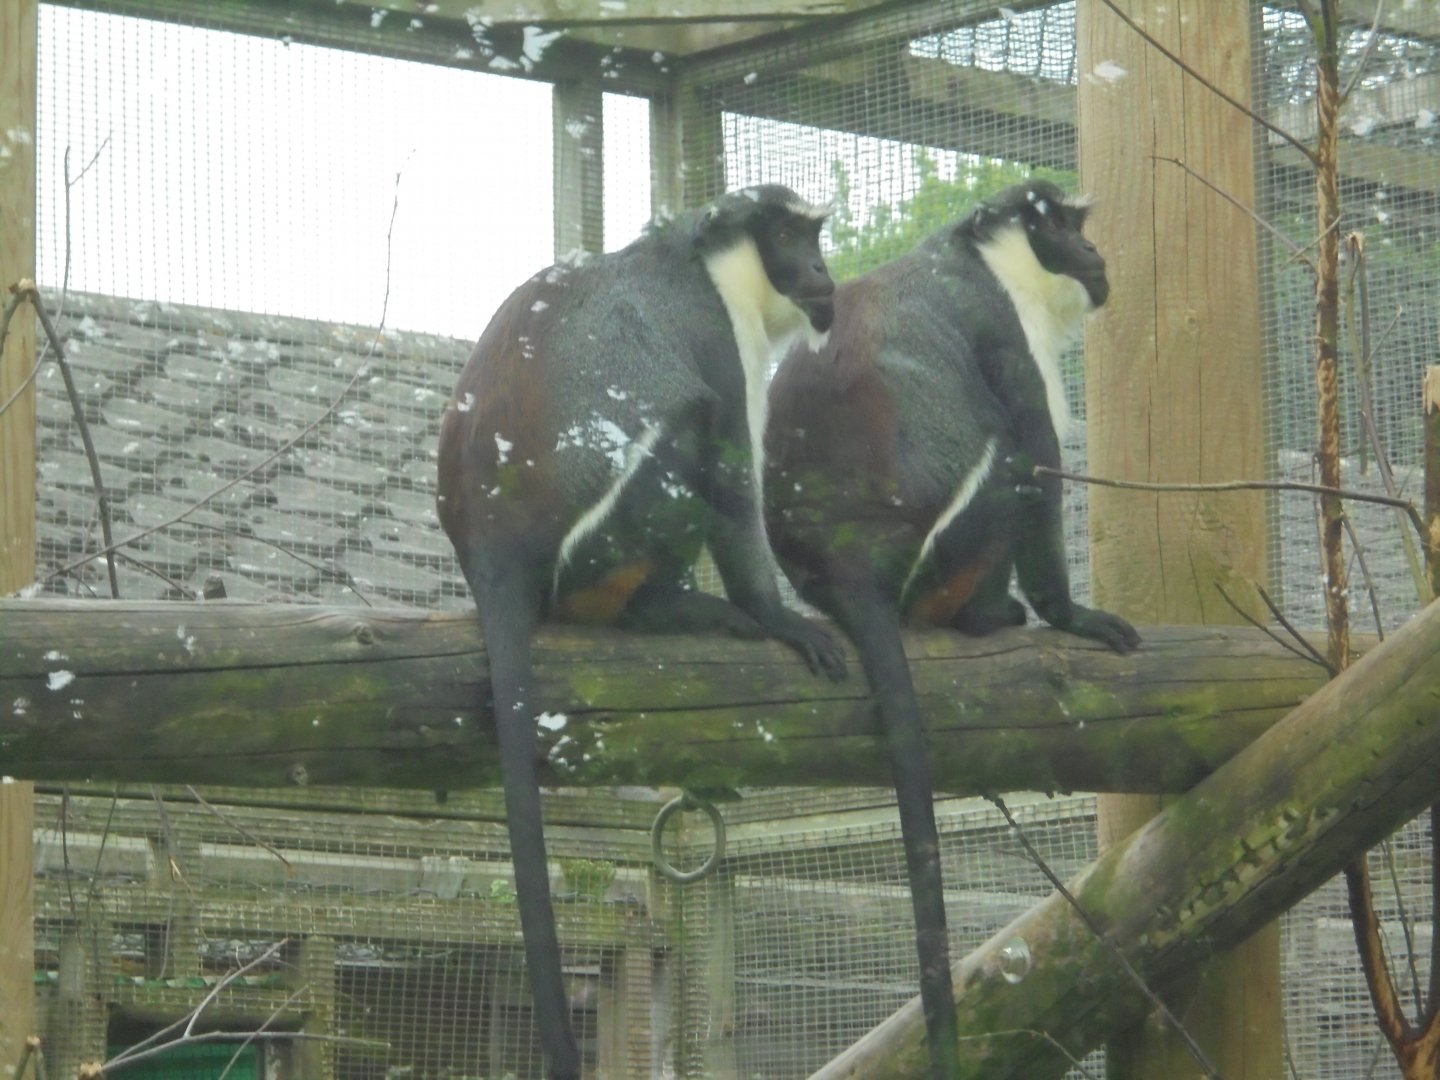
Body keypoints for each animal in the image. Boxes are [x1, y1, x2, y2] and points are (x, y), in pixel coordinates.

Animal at [437, 184, 848, 1080]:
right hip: (597, 546)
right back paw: (667, 609)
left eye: (815, 236)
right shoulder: (718, 336)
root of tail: (490, 551)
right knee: (690, 425)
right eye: (790, 236)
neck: (712, 260)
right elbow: (732, 474)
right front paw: (777, 615)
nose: (822, 274)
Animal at [763, 180, 1140, 1080]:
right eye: (1063, 226)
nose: (1094, 256)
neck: (980, 253)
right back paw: (984, 615)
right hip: (939, 559)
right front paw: (1072, 617)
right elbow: (1036, 456)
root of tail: (845, 568)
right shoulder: (1001, 326)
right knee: (1007, 459)